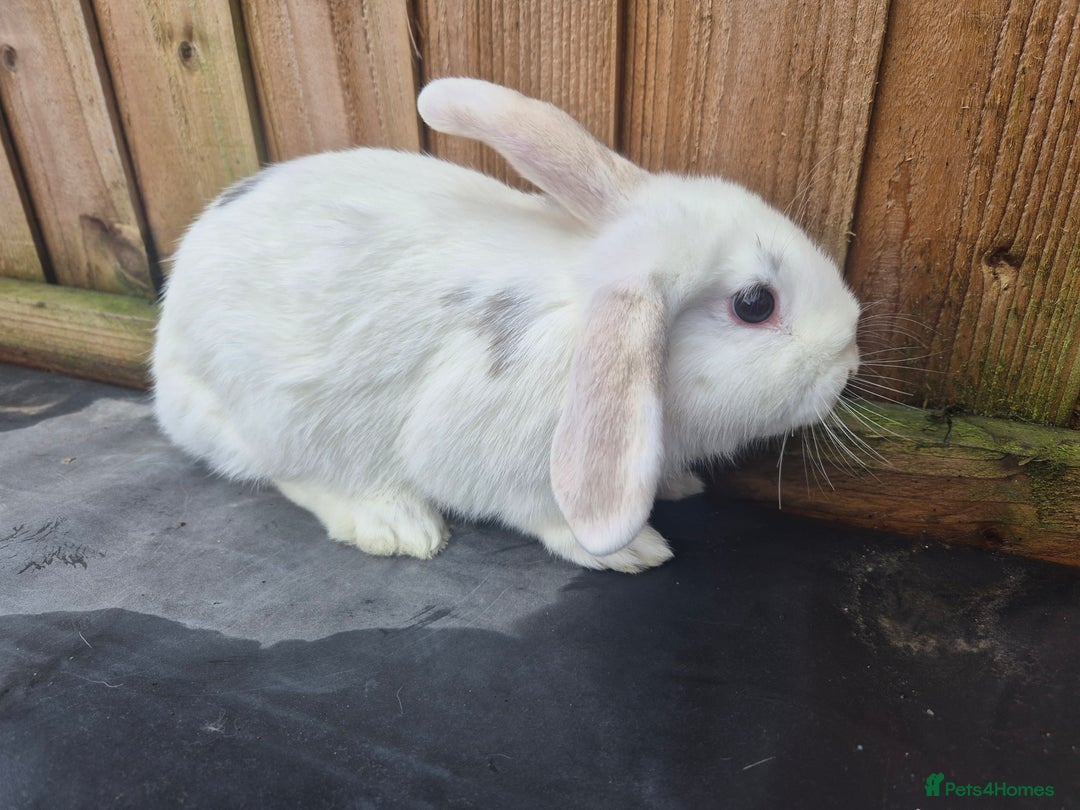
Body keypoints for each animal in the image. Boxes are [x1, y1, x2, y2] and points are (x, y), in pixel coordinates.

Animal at [151, 77, 861, 573]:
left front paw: (679, 483)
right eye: (754, 304)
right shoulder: (492, 455)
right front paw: (626, 551)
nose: (849, 357)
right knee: (296, 476)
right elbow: (537, 511)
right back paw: (395, 523)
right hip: (281, 420)